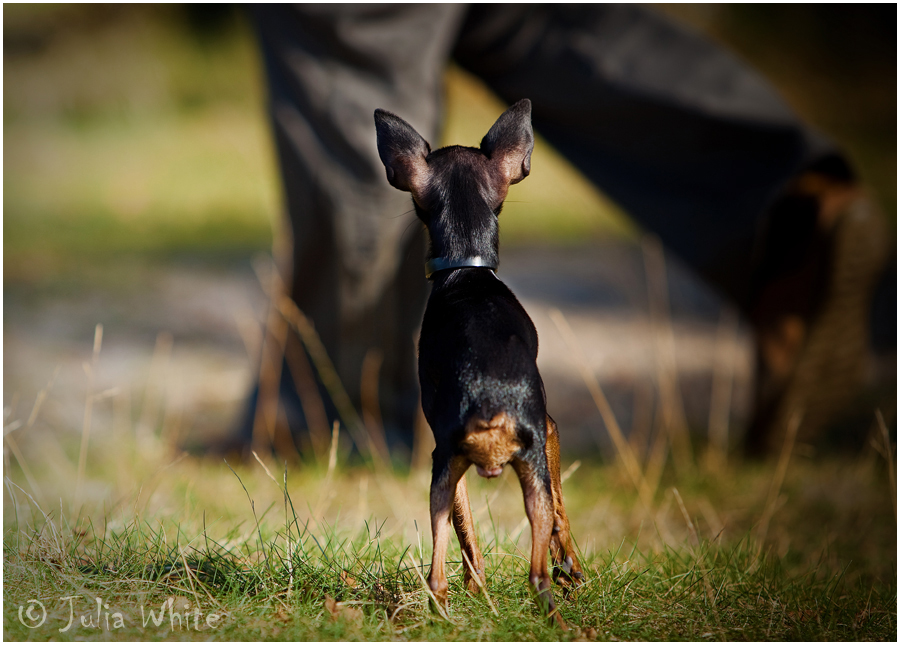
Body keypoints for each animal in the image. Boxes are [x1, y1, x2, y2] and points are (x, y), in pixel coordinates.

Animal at [372, 98, 584, 620]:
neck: (465, 268)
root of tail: (489, 404)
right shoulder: (549, 430)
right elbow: (561, 514)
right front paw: (572, 564)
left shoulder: (452, 454)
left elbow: (468, 528)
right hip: (508, 468)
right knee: (529, 569)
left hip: (444, 471)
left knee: (445, 564)